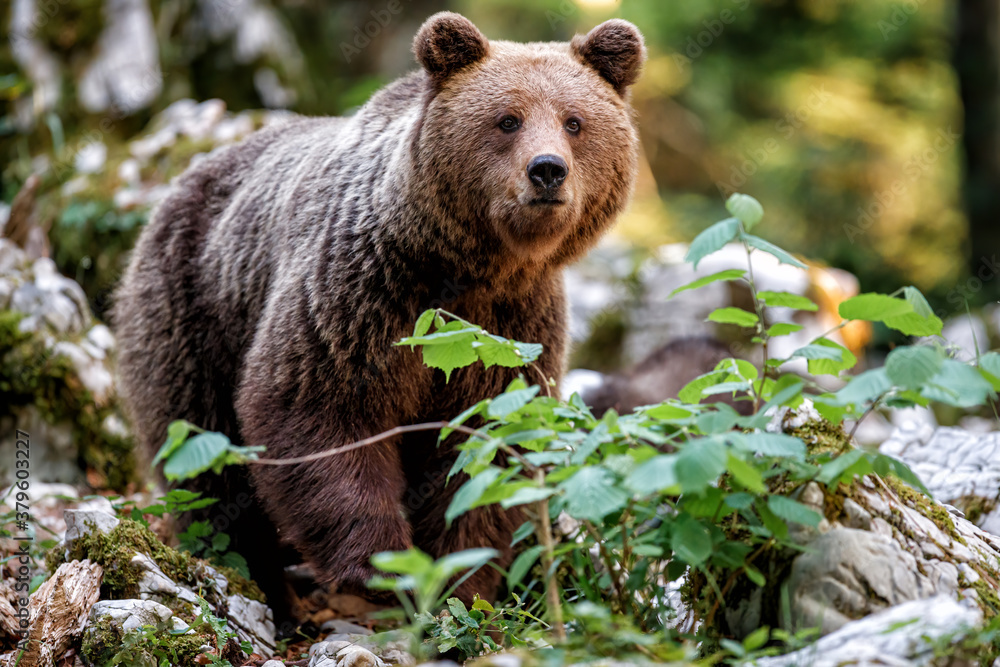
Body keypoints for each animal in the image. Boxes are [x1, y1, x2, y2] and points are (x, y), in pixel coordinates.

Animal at [113, 12, 646, 614]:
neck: (470, 266)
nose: (548, 170)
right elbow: (318, 408)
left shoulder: (511, 328)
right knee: (203, 459)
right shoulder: (362, 293)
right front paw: (380, 565)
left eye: (574, 122)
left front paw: (464, 578)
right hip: (195, 308)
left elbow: (484, 450)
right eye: (507, 119)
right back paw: (259, 582)